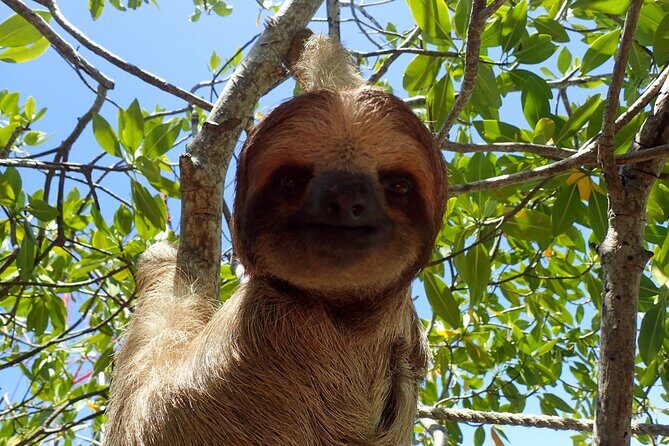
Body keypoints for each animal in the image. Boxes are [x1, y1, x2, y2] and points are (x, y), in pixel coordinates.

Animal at [103, 35, 447, 446]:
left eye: (398, 186)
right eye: (289, 181)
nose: (346, 197)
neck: (344, 313)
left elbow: (137, 404)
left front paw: (161, 257)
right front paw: (308, 44)